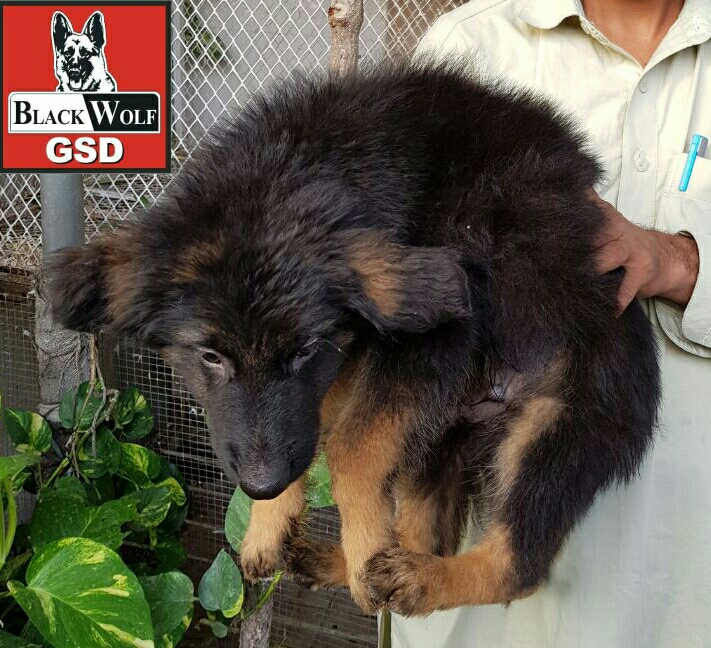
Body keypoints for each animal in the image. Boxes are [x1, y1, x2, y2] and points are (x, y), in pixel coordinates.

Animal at [48, 61, 659, 616]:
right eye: (210, 356)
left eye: (303, 351)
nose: (262, 486)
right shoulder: (347, 360)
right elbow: (311, 431)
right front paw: (270, 526)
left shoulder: (437, 338)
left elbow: (350, 447)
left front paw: (358, 546)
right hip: (440, 438)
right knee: (427, 535)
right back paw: (361, 565)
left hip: (553, 426)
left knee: (519, 565)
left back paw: (403, 576)